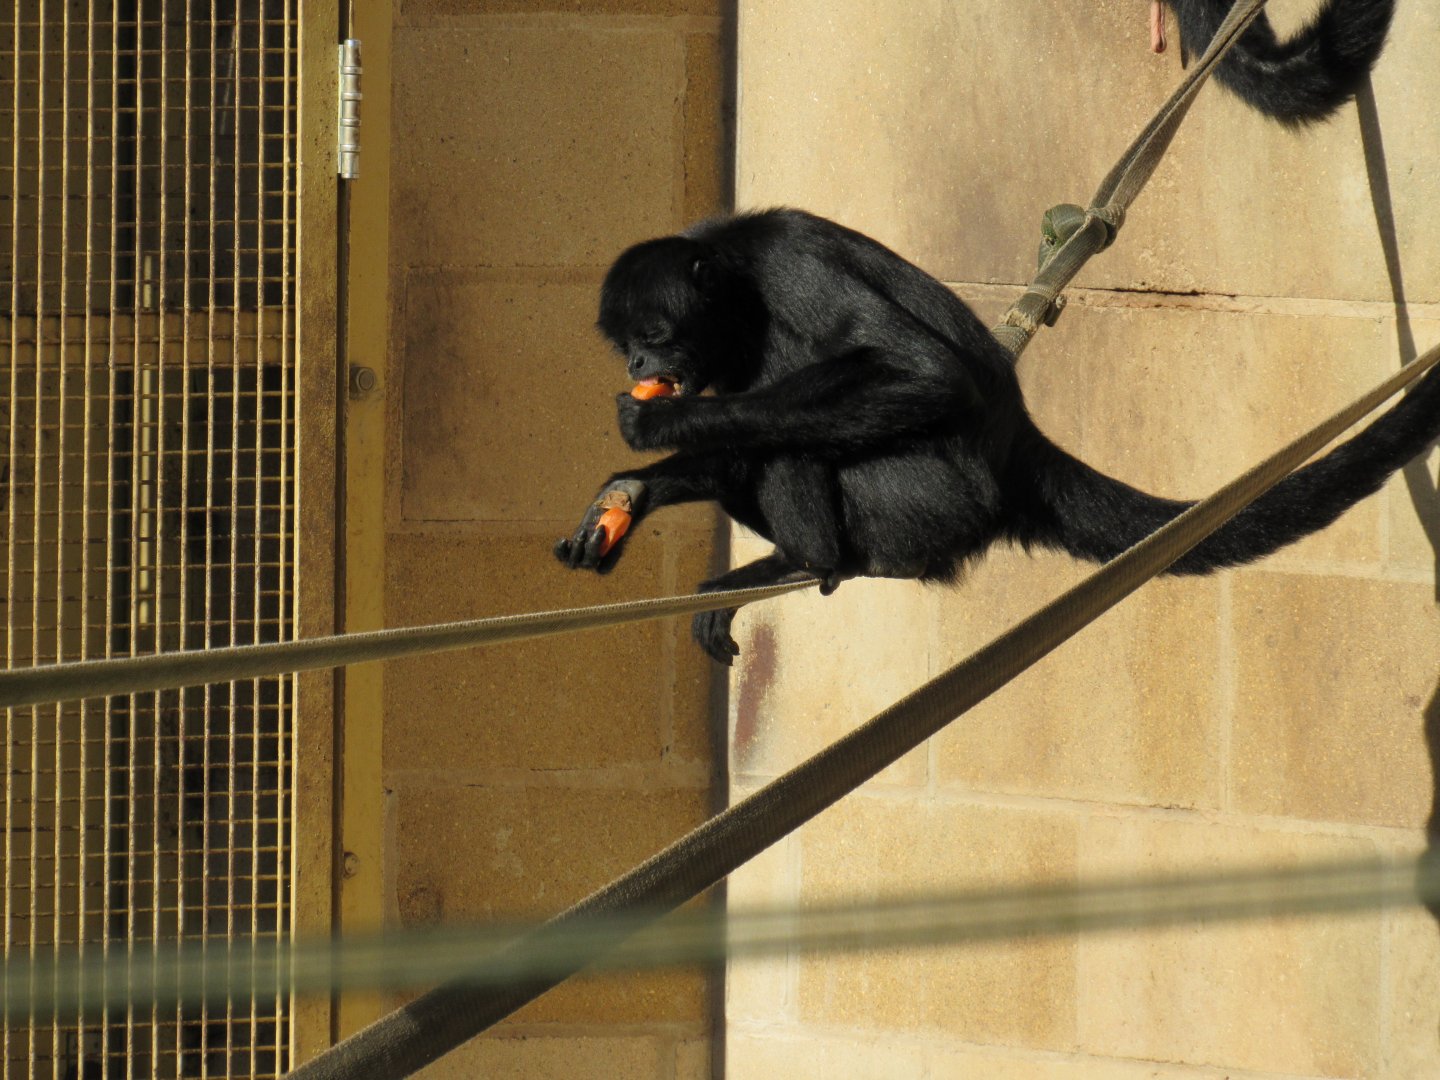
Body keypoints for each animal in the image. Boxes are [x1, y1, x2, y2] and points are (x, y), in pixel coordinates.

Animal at [554, 209, 1440, 663]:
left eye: (655, 335)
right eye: (625, 341)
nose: (639, 364)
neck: (736, 273)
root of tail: (1020, 454)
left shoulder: (789, 267)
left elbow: (923, 375)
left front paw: (658, 423)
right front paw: (626, 494)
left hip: (924, 500)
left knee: (794, 413)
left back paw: (810, 561)